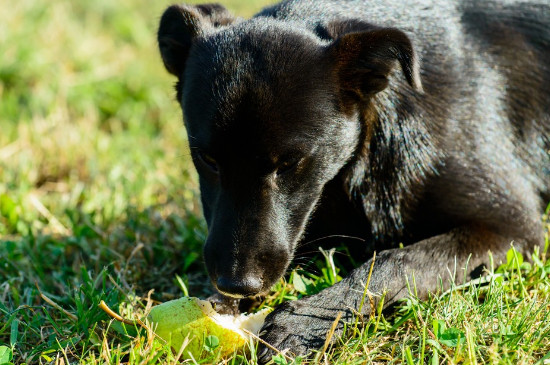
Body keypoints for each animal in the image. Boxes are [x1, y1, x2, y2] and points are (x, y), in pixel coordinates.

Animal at [156, 0, 550, 358]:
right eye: (208, 159)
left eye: (290, 162)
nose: (236, 284)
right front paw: (217, 306)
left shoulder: (512, 229)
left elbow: (394, 261)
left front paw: (304, 322)